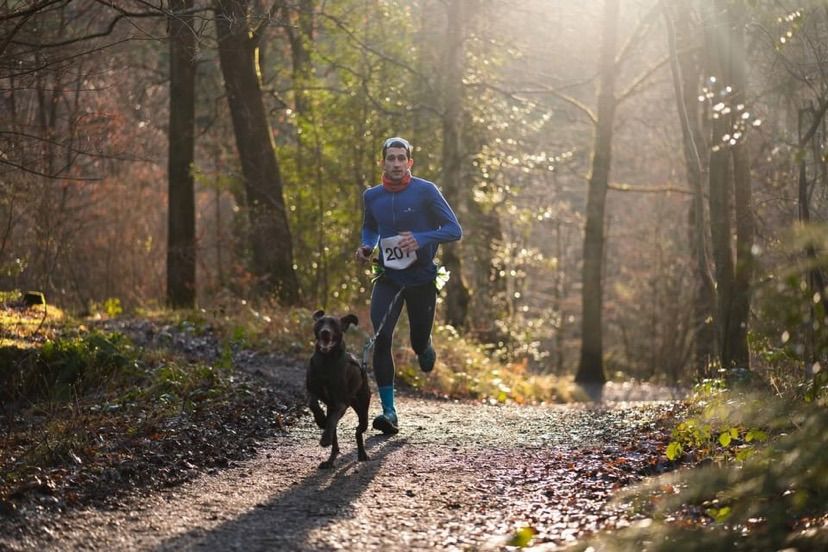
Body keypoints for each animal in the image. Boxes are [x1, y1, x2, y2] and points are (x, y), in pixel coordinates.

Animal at [306, 308, 370, 468]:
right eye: (320, 322)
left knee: (358, 430)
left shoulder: (341, 403)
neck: (326, 361)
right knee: (336, 440)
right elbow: (312, 403)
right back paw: (330, 460)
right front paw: (320, 420)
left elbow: (333, 419)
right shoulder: (312, 390)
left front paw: (324, 438)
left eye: (334, 324)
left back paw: (362, 454)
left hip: (363, 407)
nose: (325, 332)